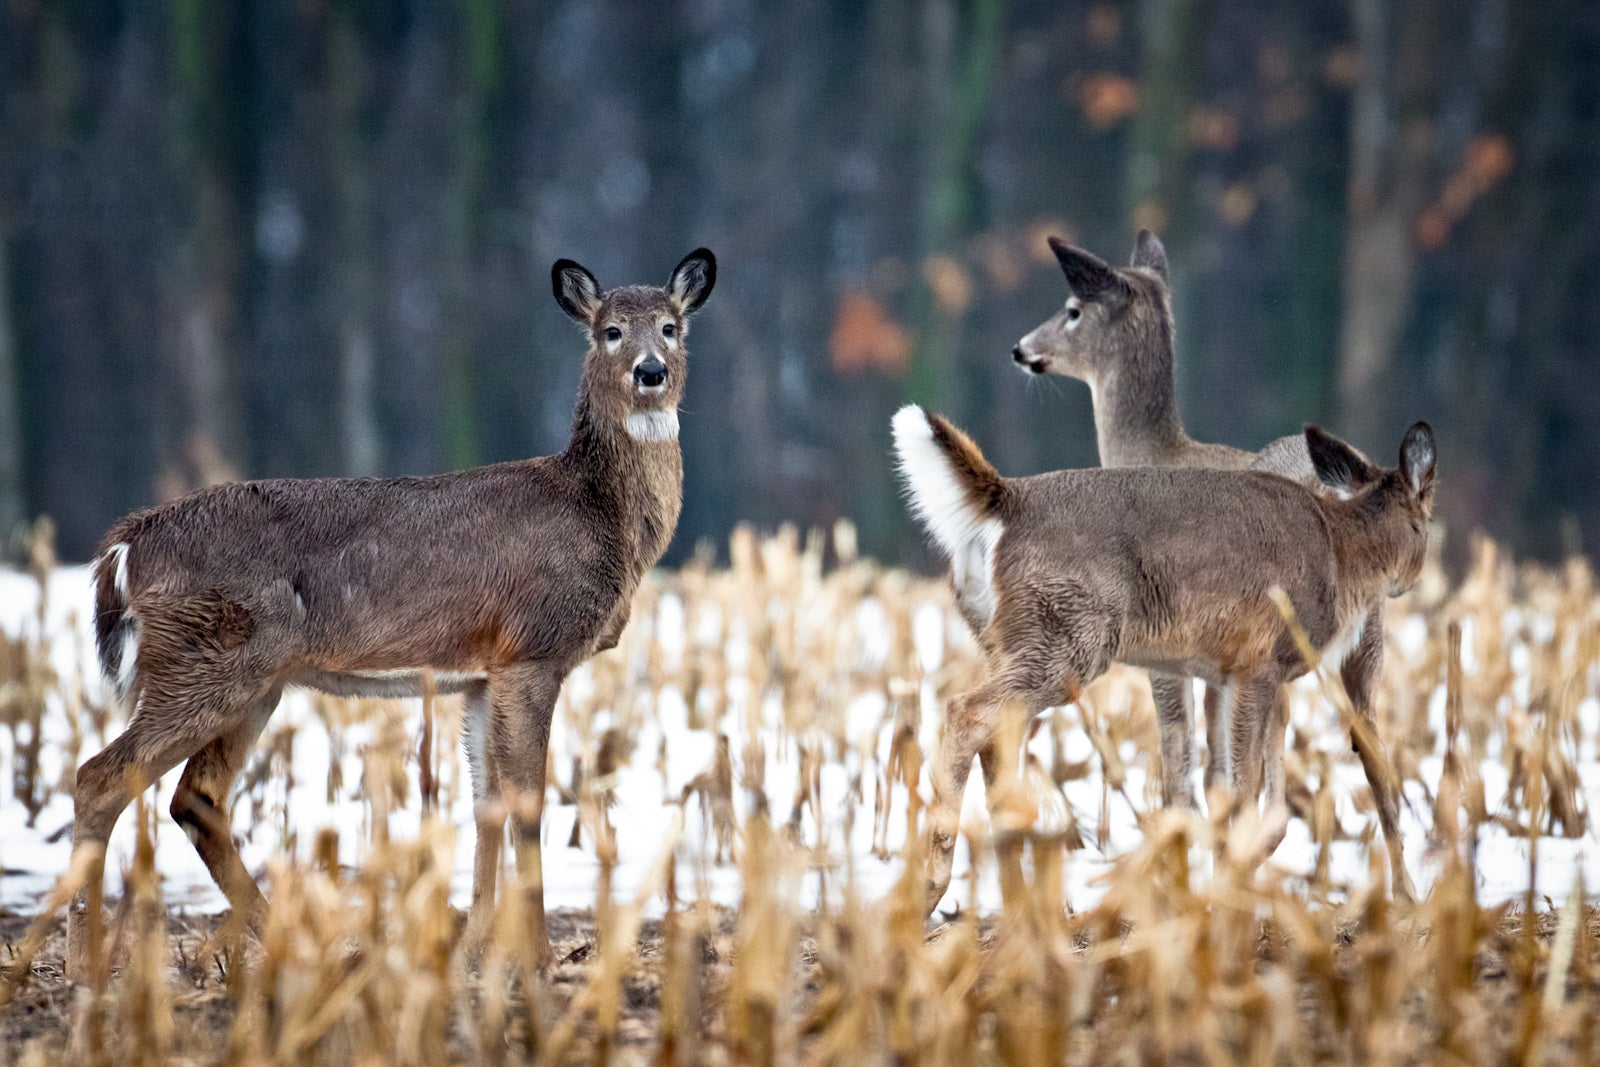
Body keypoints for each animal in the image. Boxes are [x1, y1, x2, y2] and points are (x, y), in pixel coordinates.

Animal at [65, 248, 716, 981]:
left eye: (671, 327)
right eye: (610, 331)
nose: (650, 371)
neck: (598, 511)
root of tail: (121, 548)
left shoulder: (484, 671)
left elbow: (486, 804)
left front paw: (475, 946)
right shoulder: (534, 649)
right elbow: (527, 803)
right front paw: (541, 956)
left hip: (254, 681)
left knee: (195, 799)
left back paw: (291, 944)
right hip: (203, 661)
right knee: (102, 778)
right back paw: (82, 960)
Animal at [892, 405, 1434, 912]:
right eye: (1426, 518)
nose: (1410, 583)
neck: (1342, 555)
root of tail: (1005, 498)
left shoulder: (1230, 671)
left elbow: (1237, 787)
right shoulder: (1258, 663)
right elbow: (1242, 787)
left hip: (1006, 639)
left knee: (997, 739)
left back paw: (1020, 904)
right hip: (1068, 636)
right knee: (966, 712)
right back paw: (933, 887)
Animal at [1011, 230, 1409, 891]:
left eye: (1071, 310)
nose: (1021, 349)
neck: (1153, 453)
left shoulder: (1170, 650)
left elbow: (1183, 767)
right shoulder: (1217, 664)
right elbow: (1217, 776)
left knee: (1275, 783)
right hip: (1363, 649)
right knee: (1377, 761)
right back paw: (1405, 892)